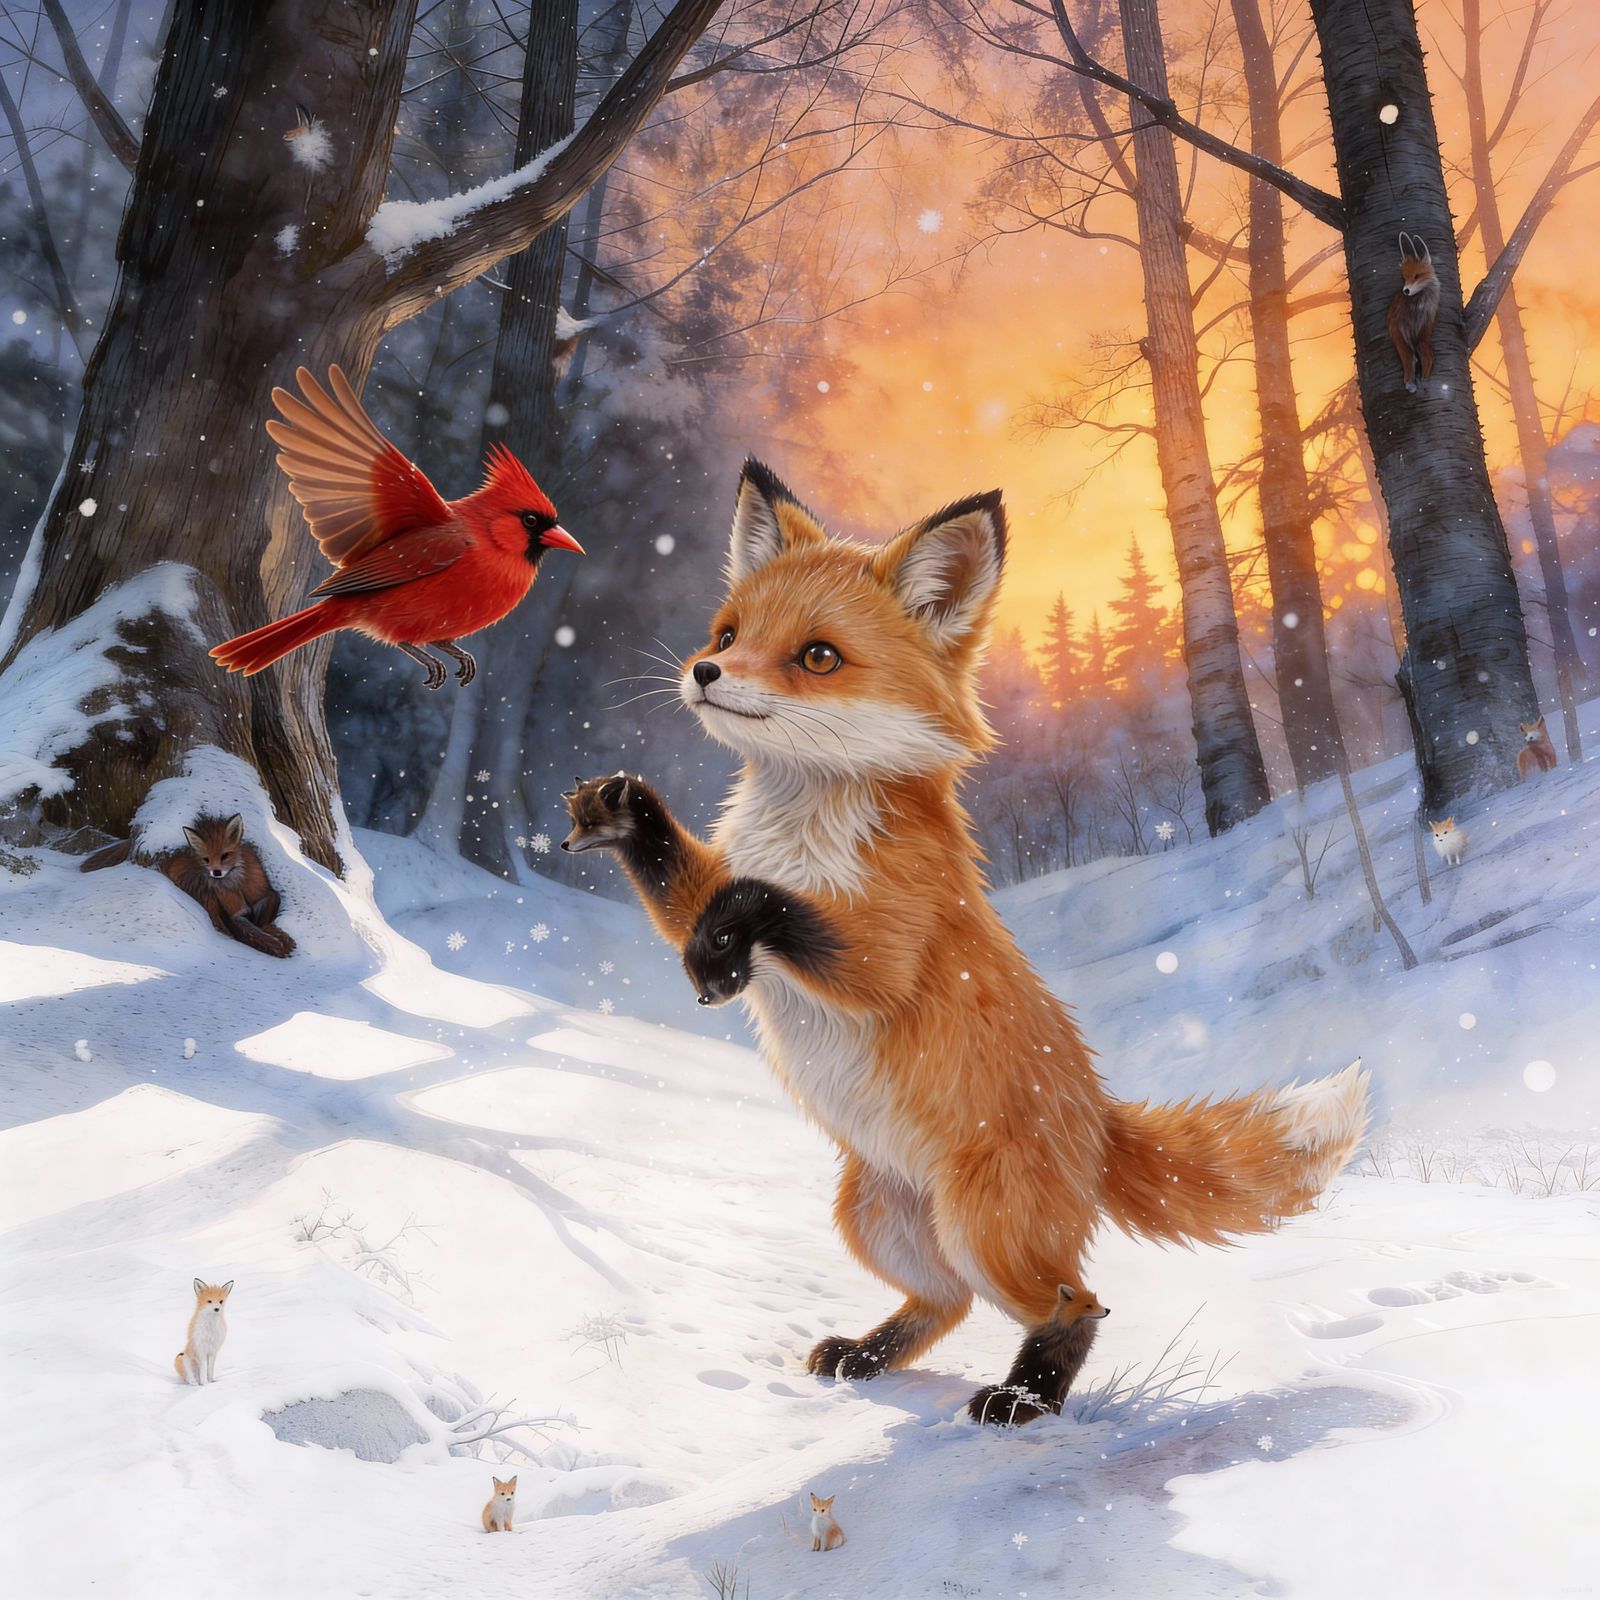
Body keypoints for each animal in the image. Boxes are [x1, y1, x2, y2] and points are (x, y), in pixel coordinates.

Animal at [567, 459, 1368, 1424]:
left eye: (818, 656)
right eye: (728, 632)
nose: (704, 670)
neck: (803, 828)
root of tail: (1098, 1118)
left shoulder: (888, 949)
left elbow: (770, 907)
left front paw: (722, 955)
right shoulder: (711, 883)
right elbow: (686, 885)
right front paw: (626, 816)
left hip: (985, 1228)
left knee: (1078, 1302)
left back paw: (1024, 1399)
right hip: (877, 1218)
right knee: (945, 1302)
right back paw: (867, 1355)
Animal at [1387, 232, 1439, 395]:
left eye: (1416, 276)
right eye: (1404, 278)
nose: (1406, 291)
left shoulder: (1426, 324)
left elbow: (1425, 351)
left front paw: (1425, 376)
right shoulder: (1404, 327)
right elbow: (1410, 357)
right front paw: (1412, 381)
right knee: (1408, 356)